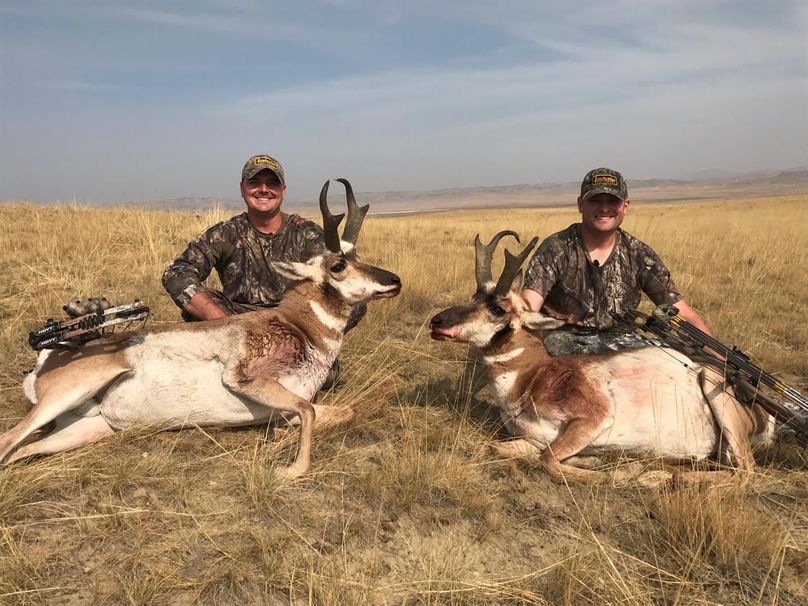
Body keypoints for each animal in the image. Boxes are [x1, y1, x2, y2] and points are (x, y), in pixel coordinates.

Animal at [0, 179, 401, 479]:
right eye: (338, 265)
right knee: (8, 440)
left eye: (358, 256)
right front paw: (290, 470)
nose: (394, 281)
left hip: (89, 427)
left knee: (20, 450)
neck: (299, 328)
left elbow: (339, 412)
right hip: (73, 391)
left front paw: (277, 439)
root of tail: (48, 357)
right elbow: (308, 411)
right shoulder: (244, 380)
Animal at [429, 231, 772, 484]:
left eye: (498, 308)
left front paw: (617, 470)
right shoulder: (534, 438)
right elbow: (504, 448)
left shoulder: (592, 419)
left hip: (715, 391)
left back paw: (665, 477)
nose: (437, 321)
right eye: (474, 297)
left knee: (747, 473)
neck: (534, 378)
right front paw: (593, 459)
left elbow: (548, 461)